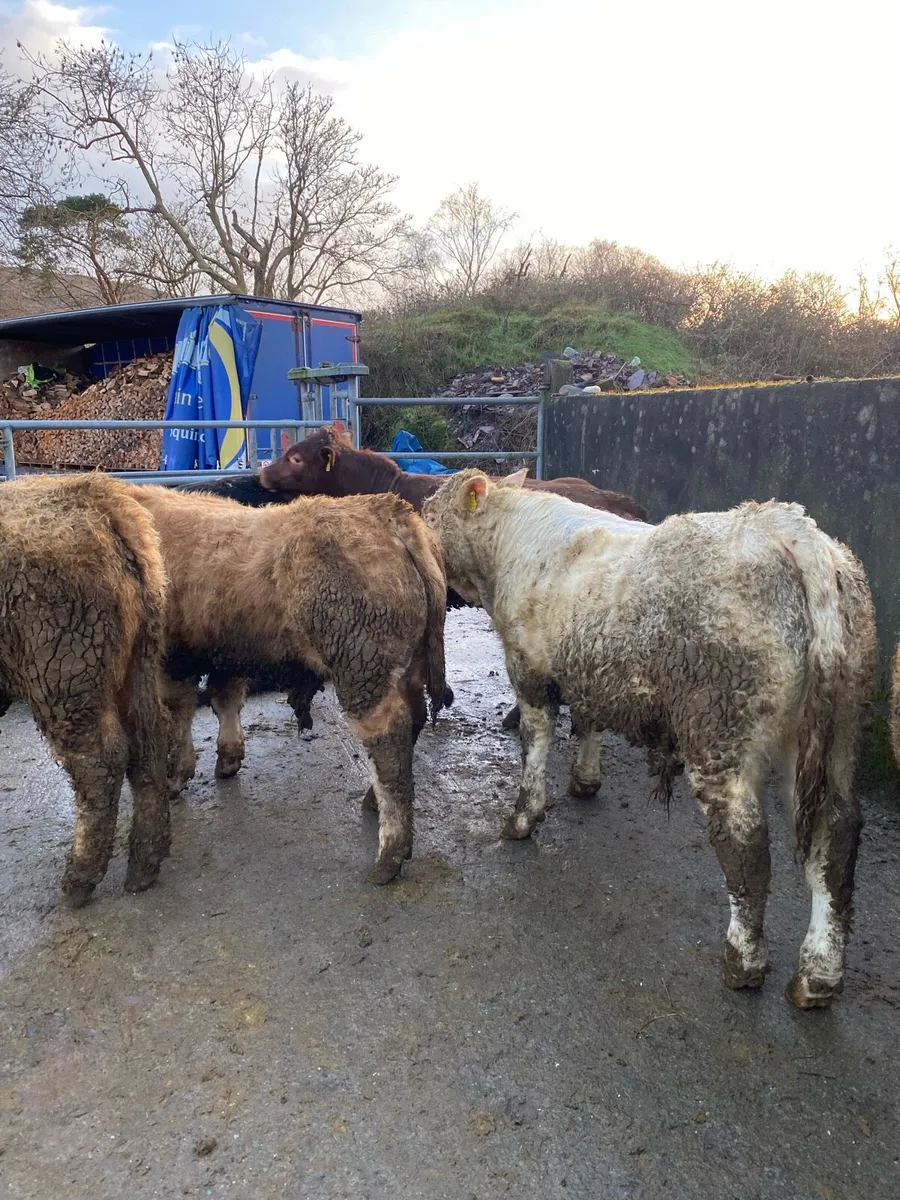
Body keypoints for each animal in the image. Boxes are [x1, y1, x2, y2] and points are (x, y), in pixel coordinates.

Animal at [0, 474, 171, 906]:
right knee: (148, 742)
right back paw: (145, 862)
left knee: (98, 764)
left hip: (65, 679)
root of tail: (100, 502)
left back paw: (80, 878)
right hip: (137, 664)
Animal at [128, 484, 447, 884]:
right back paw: (373, 803)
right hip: (406, 666)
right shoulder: (228, 651)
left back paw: (389, 855)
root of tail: (386, 511)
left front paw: (176, 776)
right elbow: (224, 699)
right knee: (414, 719)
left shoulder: (171, 657)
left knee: (390, 742)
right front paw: (228, 758)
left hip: (362, 668)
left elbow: (179, 713)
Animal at [421, 469, 876, 1008]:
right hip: (835, 734)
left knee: (747, 846)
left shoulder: (529, 667)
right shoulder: (587, 665)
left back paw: (744, 960)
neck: (510, 540)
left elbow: (535, 740)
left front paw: (523, 816)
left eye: (429, 515)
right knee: (837, 837)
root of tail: (787, 529)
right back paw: (819, 976)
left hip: (719, 729)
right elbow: (589, 720)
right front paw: (585, 779)